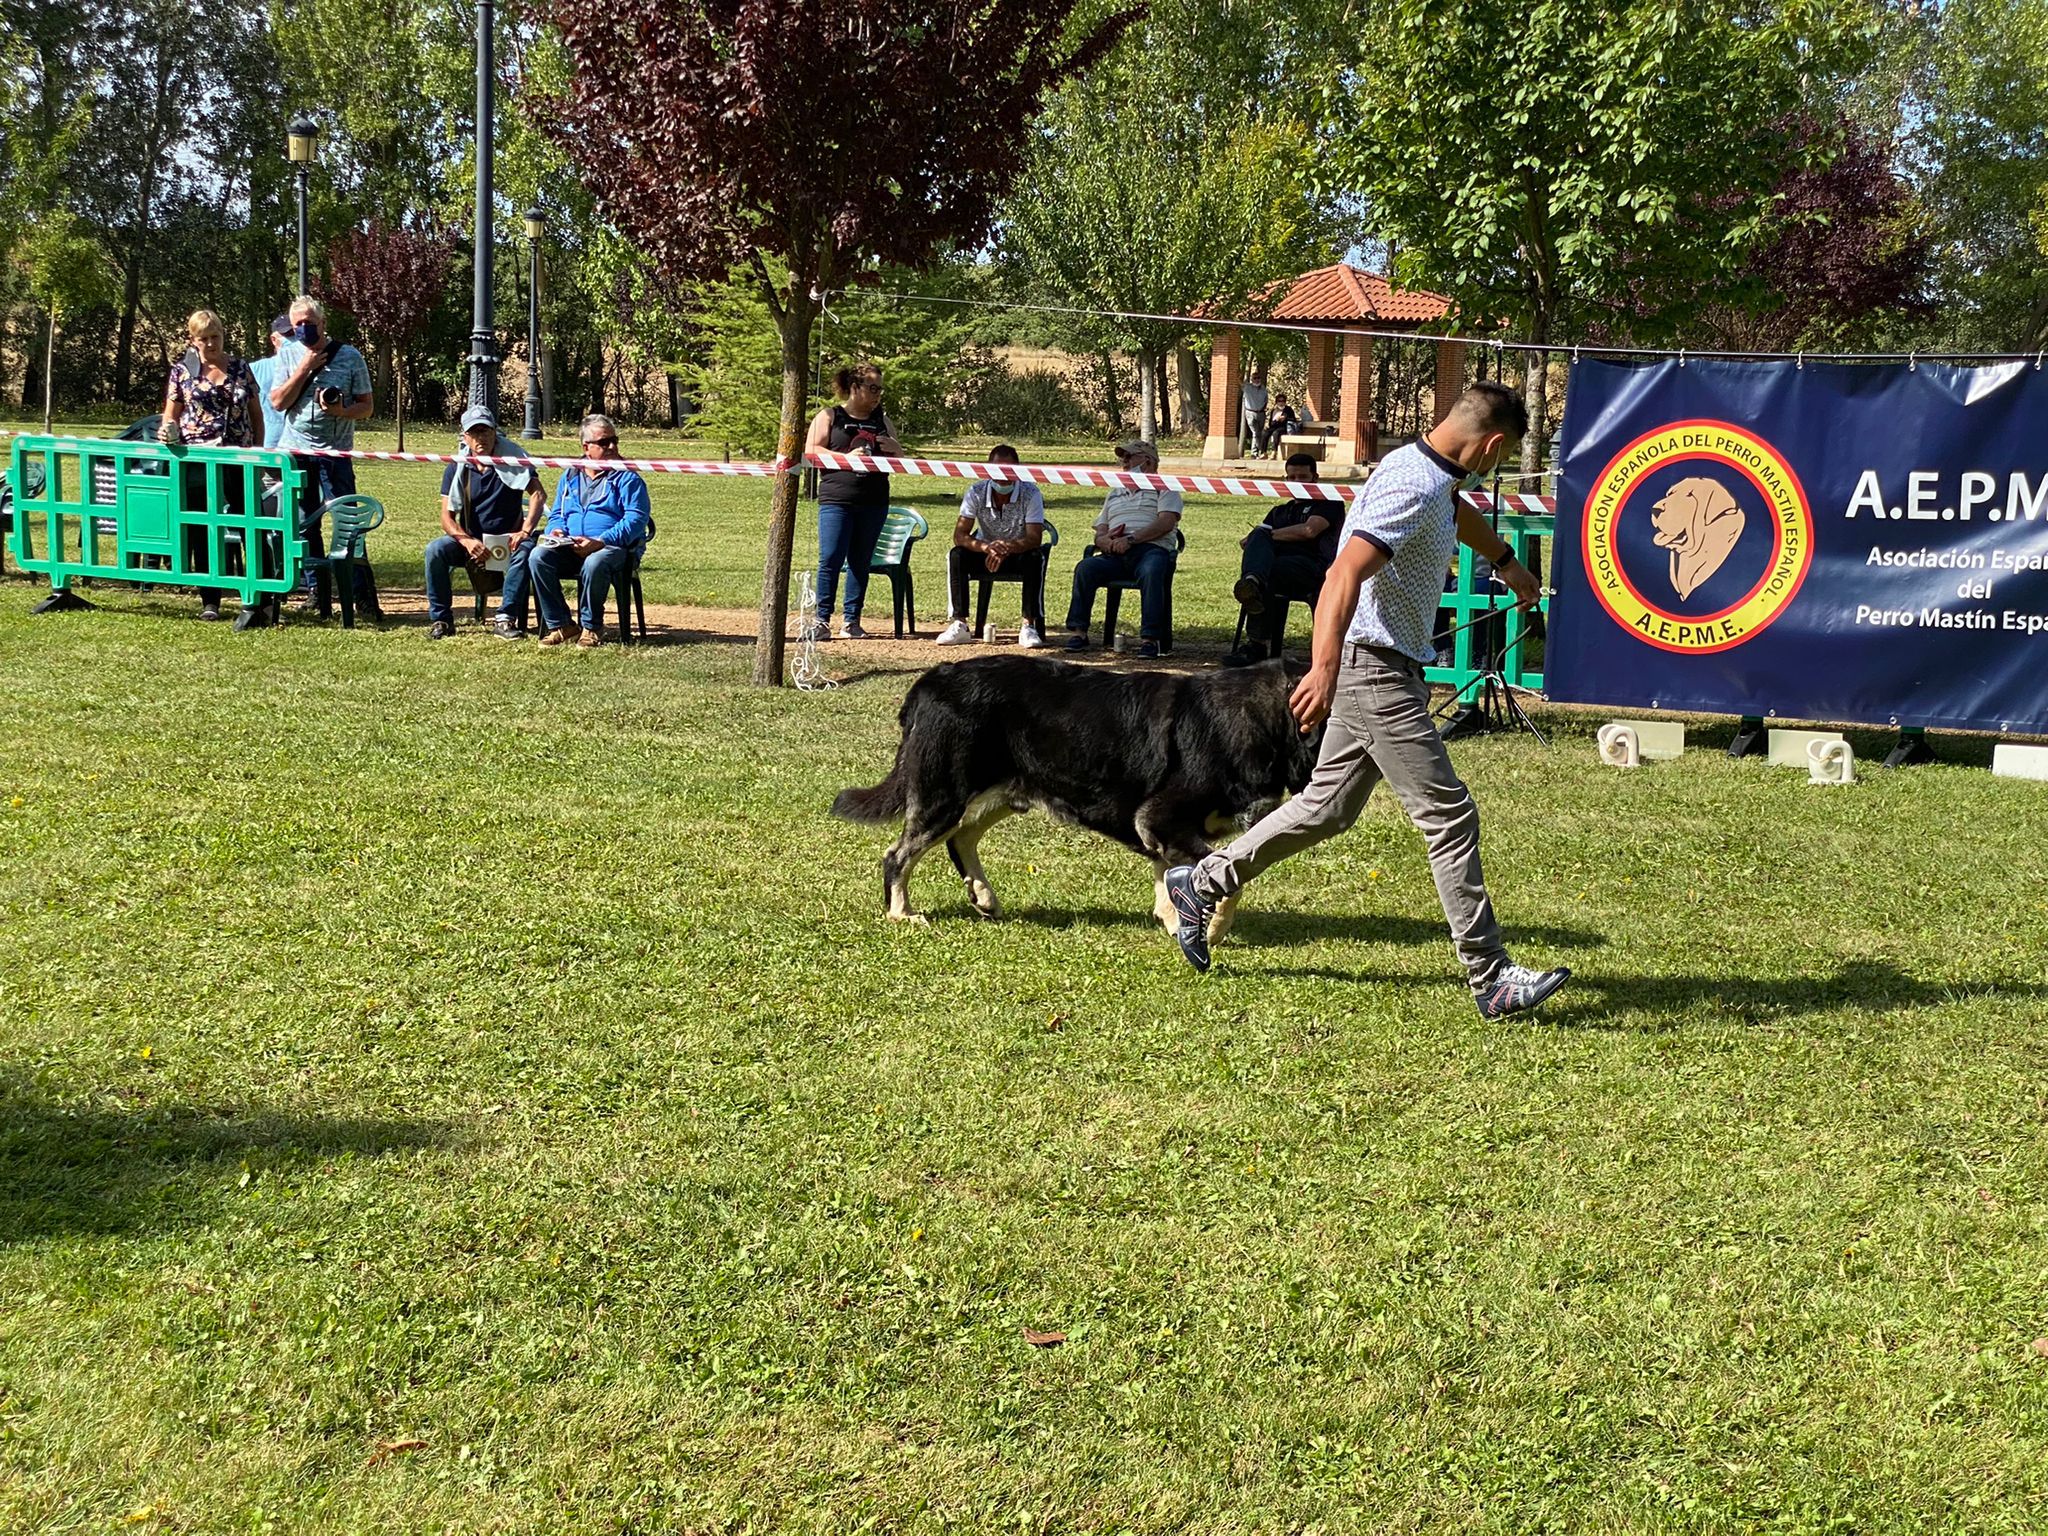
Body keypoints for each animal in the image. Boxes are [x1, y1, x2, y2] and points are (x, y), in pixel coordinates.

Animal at [835, 655, 1327, 933]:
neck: (1262, 720)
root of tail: (933, 678)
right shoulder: (1161, 819)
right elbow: (1226, 884)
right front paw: (1211, 931)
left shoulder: (1159, 830)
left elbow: (1169, 879)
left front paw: (1173, 921)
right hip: (944, 793)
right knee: (899, 855)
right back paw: (901, 913)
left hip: (1002, 791)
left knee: (962, 838)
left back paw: (983, 895)